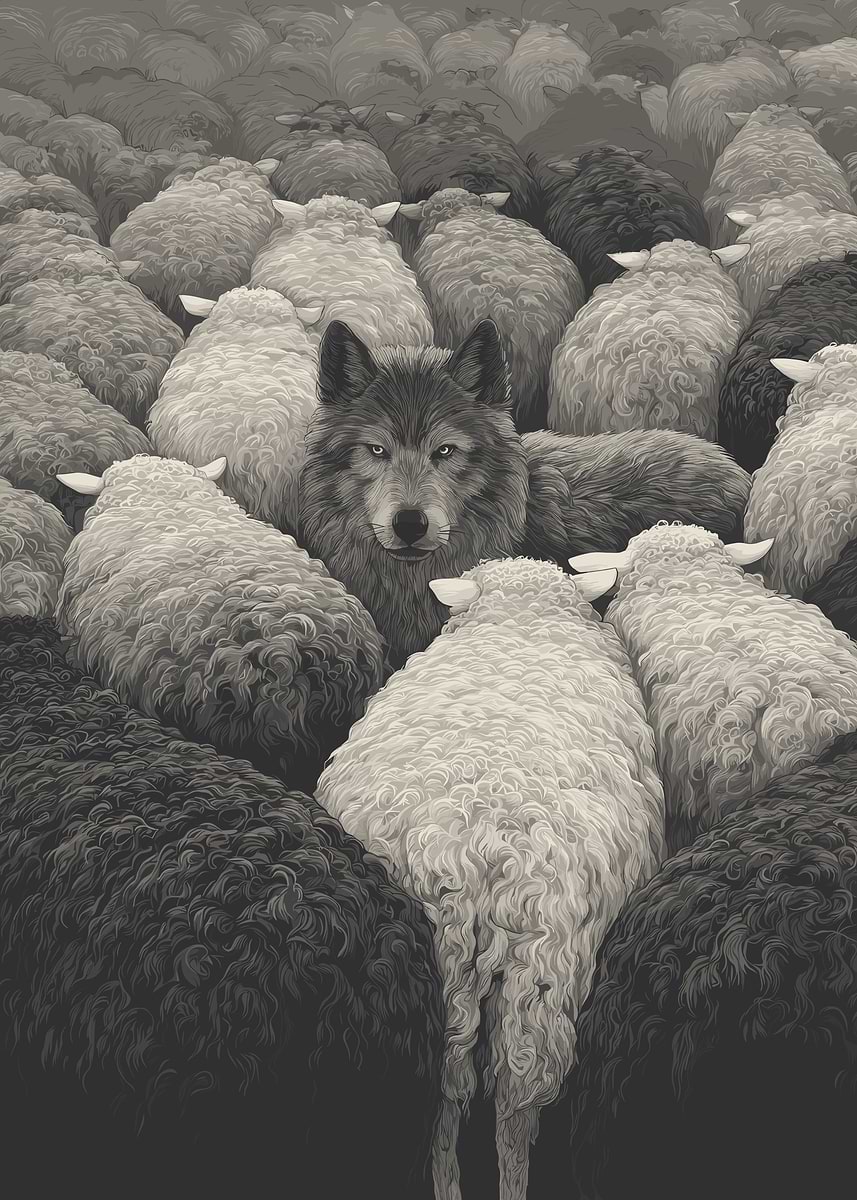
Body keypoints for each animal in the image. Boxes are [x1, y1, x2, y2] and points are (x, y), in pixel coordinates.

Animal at [316, 556, 665, 1200]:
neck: (521, 622)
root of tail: (477, 854)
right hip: (539, 972)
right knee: (504, 1104)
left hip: (480, 972)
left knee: (462, 1101)